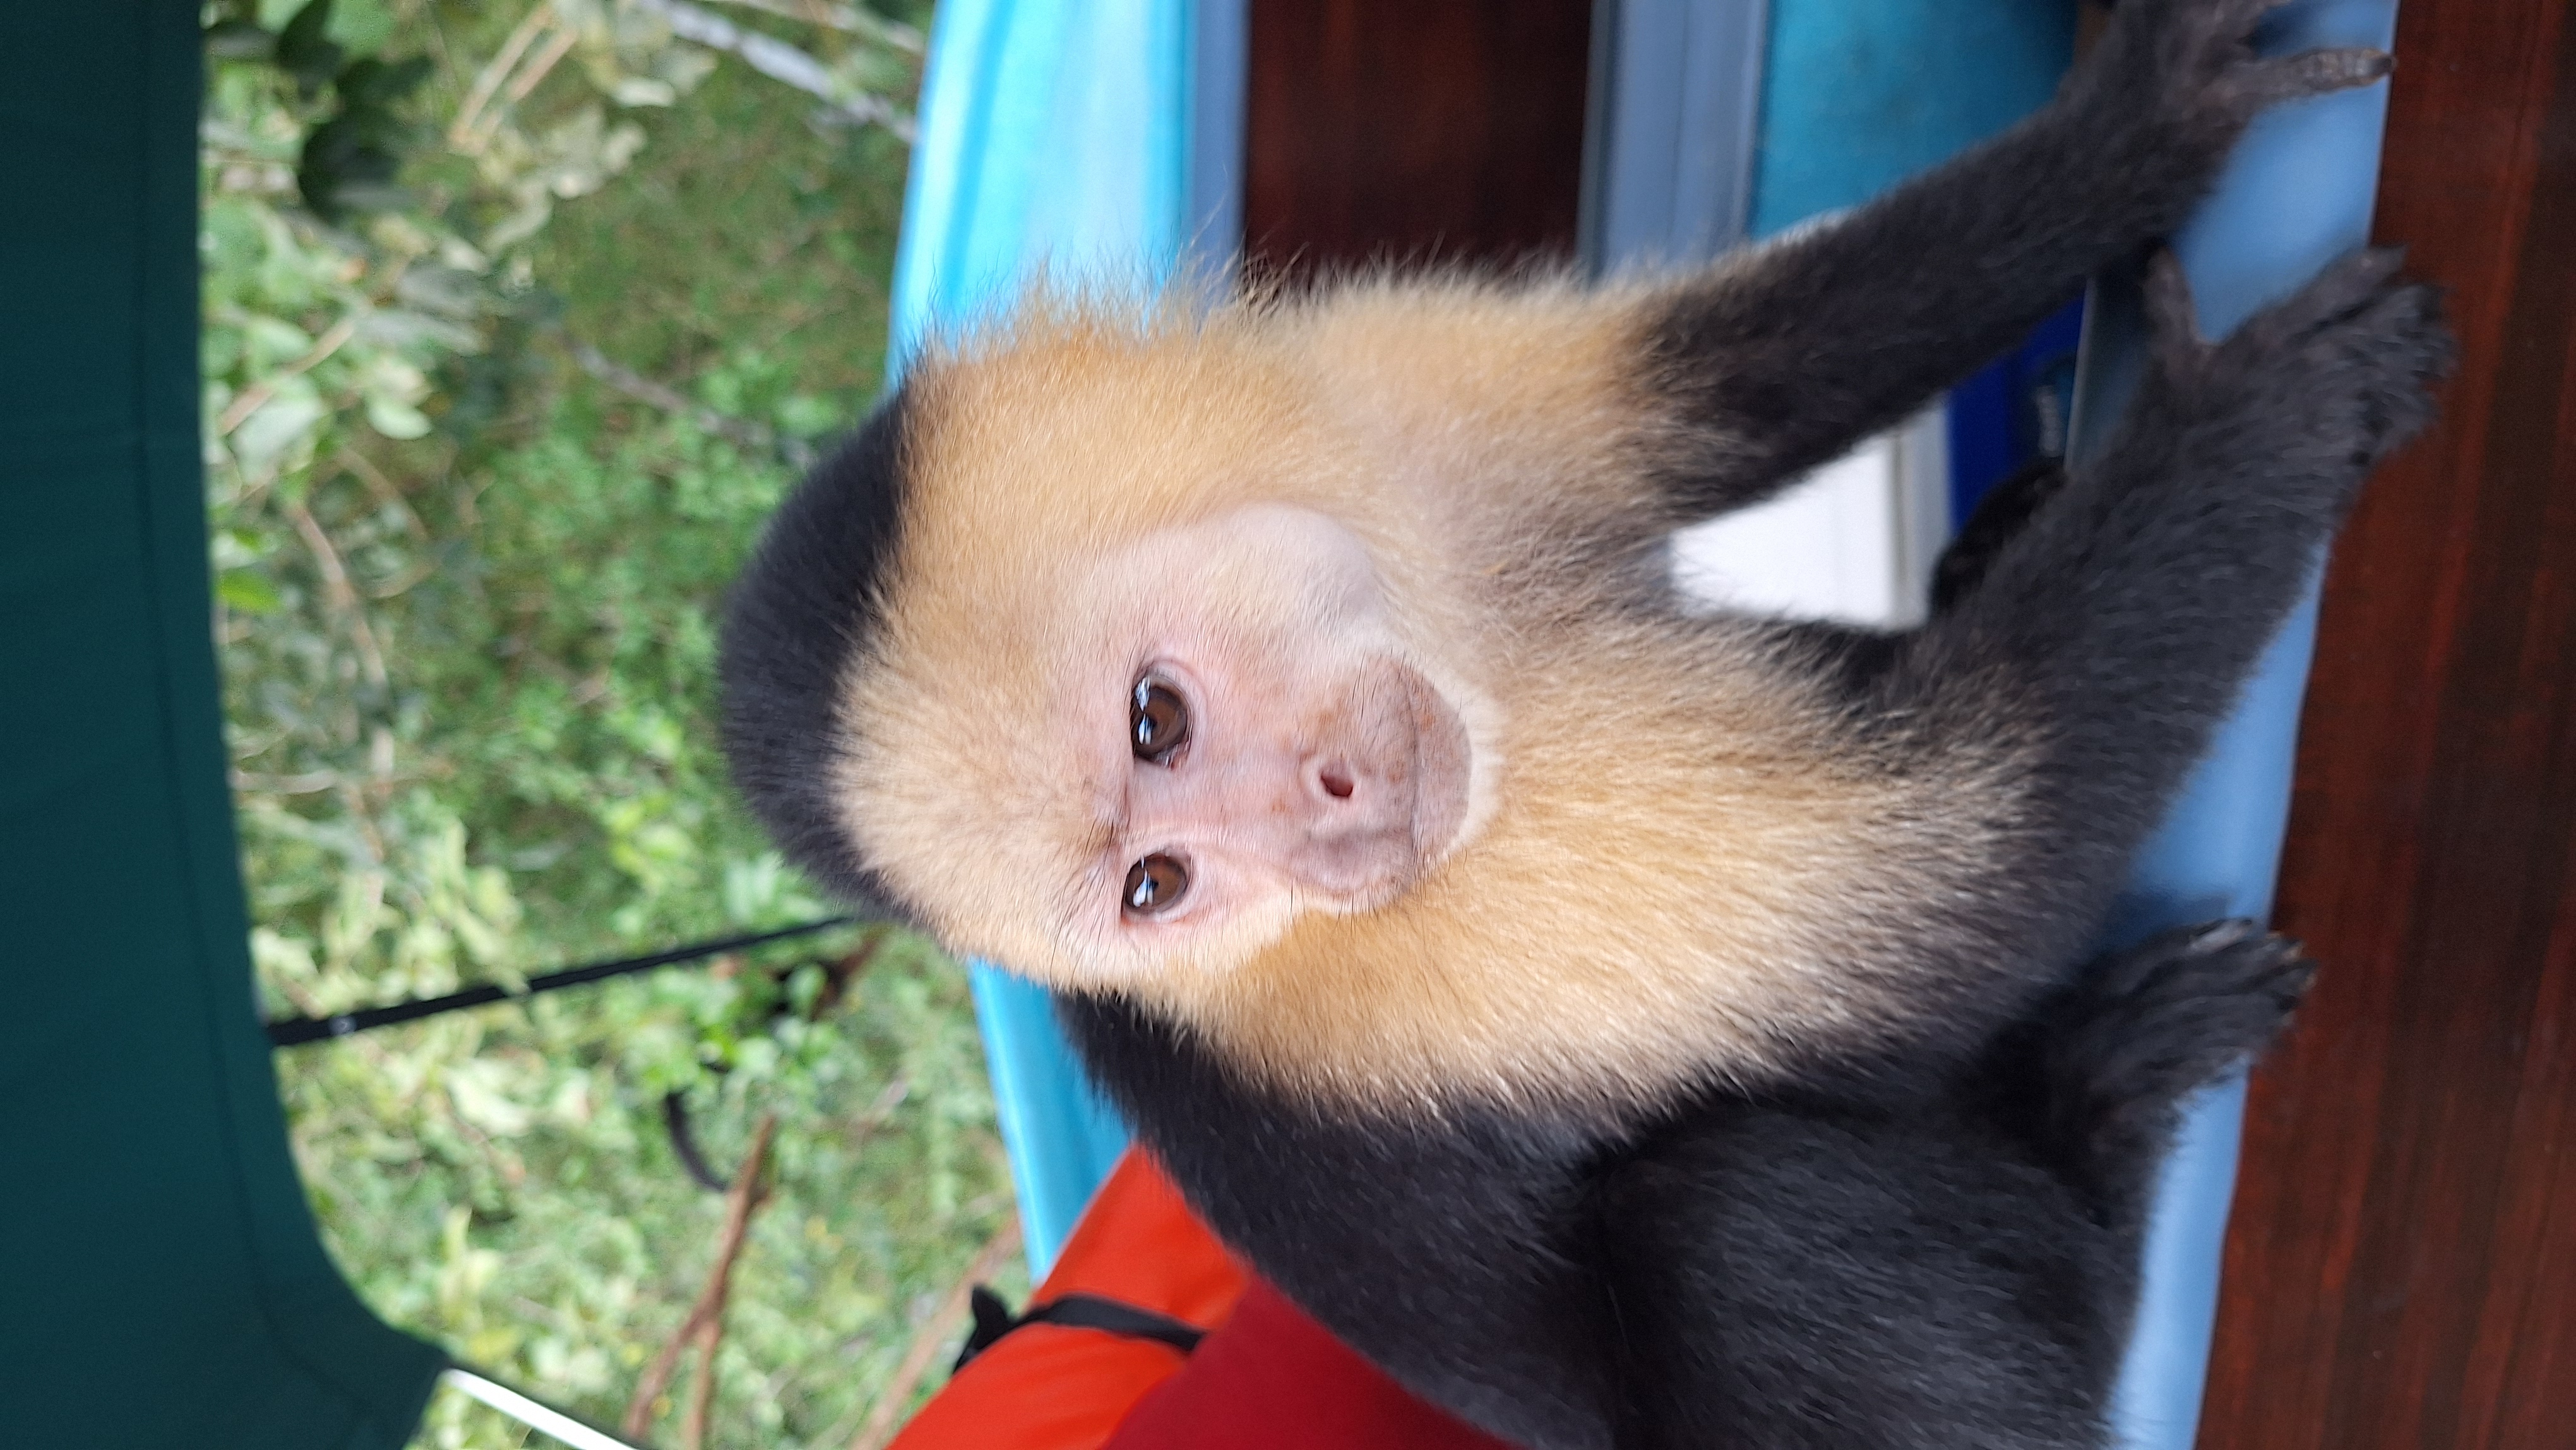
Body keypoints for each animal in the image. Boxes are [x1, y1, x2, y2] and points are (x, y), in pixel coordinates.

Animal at [715, 0, 2451, 1444]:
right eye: (1163, 886)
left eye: (1157, 720)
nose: (1334, 835)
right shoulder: (1422, 945)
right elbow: (1953, 877)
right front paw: (2251, 421)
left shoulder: (1368, 398)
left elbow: (1759, 378)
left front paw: (2145, 123)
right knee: (1732, 1225)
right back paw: (2095, 1125)